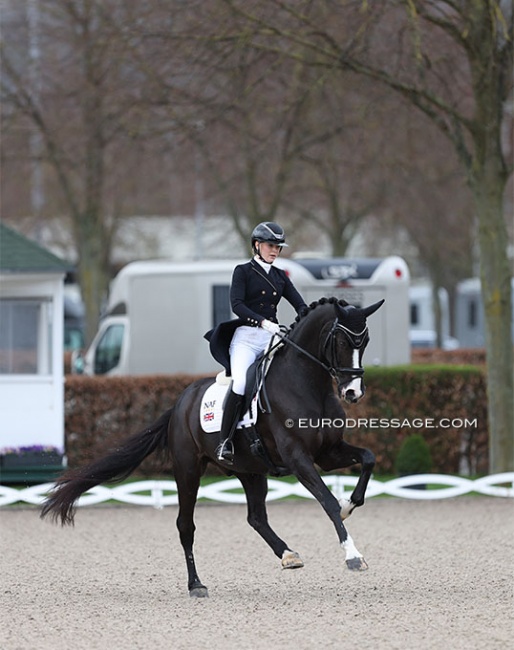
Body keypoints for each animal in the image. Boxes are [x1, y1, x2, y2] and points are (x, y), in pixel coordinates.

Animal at [42, 296, 382, 596]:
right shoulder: (299, 458)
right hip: (188, 470)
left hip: (250, 470)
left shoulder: (327, 453)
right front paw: (353, 556)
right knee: (186, 525)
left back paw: (288, 555)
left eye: (364, 341)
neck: (308, 384)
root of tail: (181, 402)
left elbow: (368, 458)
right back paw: (196, 585)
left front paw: (351, 504)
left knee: (256, 517)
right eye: (341, 342)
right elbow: (327, 502)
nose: (353, 393)